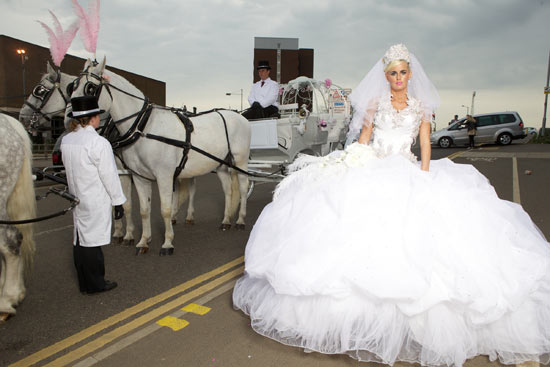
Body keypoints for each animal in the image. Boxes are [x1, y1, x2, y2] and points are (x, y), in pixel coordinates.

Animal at [69, 58, 252, 256]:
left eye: (90, 88)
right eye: (73, 85)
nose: (70, 119)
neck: (144, 127)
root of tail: (239, 117)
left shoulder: (164, 176)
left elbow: (165, 209)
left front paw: (167, 243)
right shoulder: (139, 177)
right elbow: (143, 210)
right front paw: (143, 241)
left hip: (240, 161)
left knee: (243, 189)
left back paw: (240, 220)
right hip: (221, 165)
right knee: (228, 191)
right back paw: (226, 220)